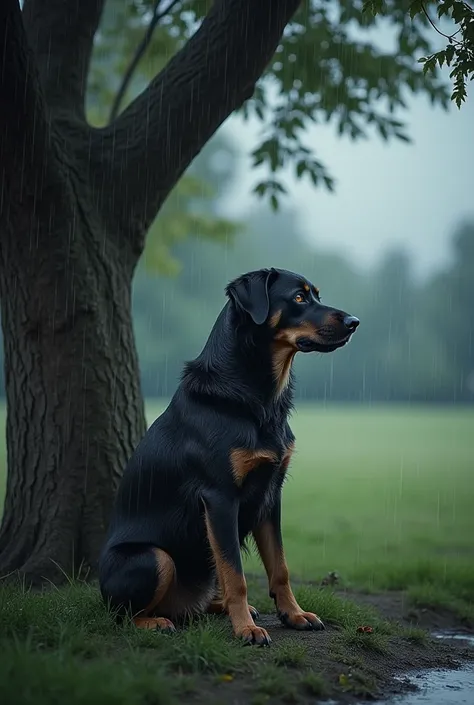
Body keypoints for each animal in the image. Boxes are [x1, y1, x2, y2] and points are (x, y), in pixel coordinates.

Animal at [100, 266, 360, 648]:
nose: (355, 322)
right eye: (298, 297)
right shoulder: (220, 497)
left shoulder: (271, 495)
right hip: (153, 558)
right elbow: (236, 574)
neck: (259, 396)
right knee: (120, 613)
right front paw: (246, 631)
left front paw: (294, 615)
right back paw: (157, 622)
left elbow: (280, 566)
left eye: (315, 294)